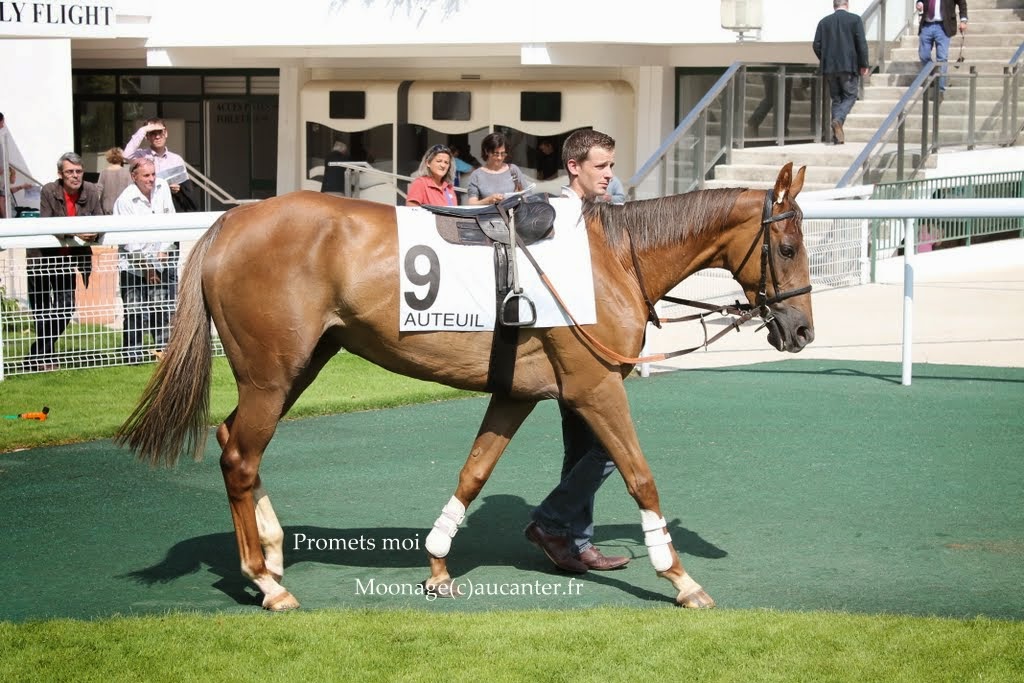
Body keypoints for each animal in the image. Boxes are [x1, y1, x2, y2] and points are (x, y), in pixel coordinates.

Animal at [116, 162, 811, 610]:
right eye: (787, 245)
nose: (801, 329)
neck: (609, 258)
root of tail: (230, 225)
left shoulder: (517, 393)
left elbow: (474, 472)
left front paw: (438, 563)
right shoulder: (596, 388)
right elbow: (640, 475)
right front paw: (681, 578)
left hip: (301, 364)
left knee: (235, 442)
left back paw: (273, 551)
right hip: (270, 372)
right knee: (240, 455)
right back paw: (266, 581)